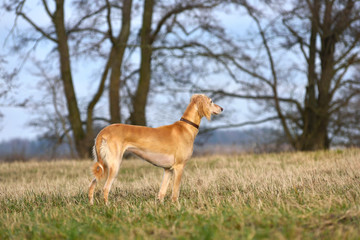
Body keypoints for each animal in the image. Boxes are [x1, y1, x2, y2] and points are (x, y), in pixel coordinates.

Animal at [88, 94, 222, 204]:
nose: (222, 109)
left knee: (92, 185)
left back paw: (91, 205)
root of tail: (103, 132)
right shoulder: (179, 167)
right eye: (211, 101)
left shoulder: (168, 170)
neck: (185, 127)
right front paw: (177, 206)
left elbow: (162, 192)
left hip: (103, 165)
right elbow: (175, 192)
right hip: (114, 165)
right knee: (105, 188)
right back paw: (107, 206)